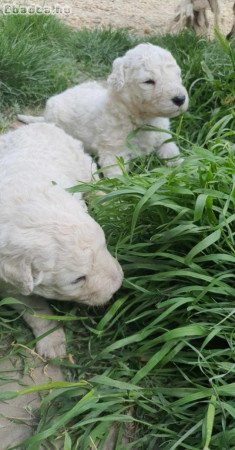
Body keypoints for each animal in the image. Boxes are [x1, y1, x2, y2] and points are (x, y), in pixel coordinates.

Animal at [0, 123, 124, 358]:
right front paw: (52, 342)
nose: (119, 284)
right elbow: (34, 308)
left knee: (93, 183)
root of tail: (40, 124)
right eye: (78, 279)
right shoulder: (9, 285)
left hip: (81, 161)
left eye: (104, 245)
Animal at [18, 42, 189, 178]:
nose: (180, 99)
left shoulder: (164, 139)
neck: (140, 118)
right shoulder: (114, 153)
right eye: (148, 81)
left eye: (177, 75)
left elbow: (174, 156)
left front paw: (186, 170)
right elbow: (117, 177)